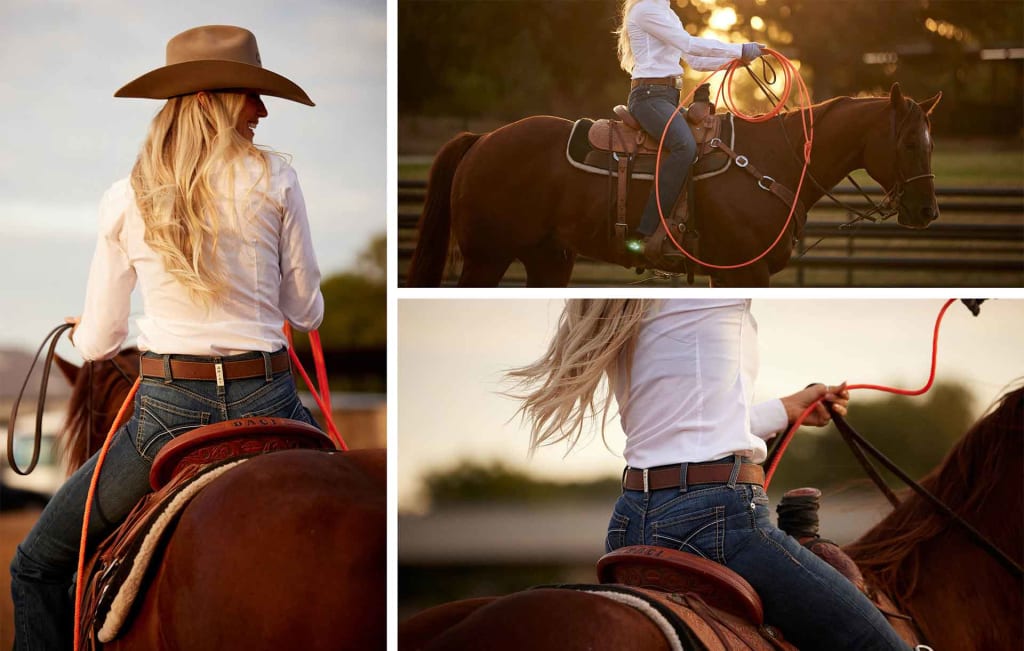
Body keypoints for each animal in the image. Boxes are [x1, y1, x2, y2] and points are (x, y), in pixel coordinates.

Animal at [405, 82, 937, 286]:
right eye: (911, 142)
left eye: (931, 142)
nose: (927, 213)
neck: (773, 162)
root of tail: (482, 140)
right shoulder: (746, 271)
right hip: (487, 257)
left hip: (548, 258)